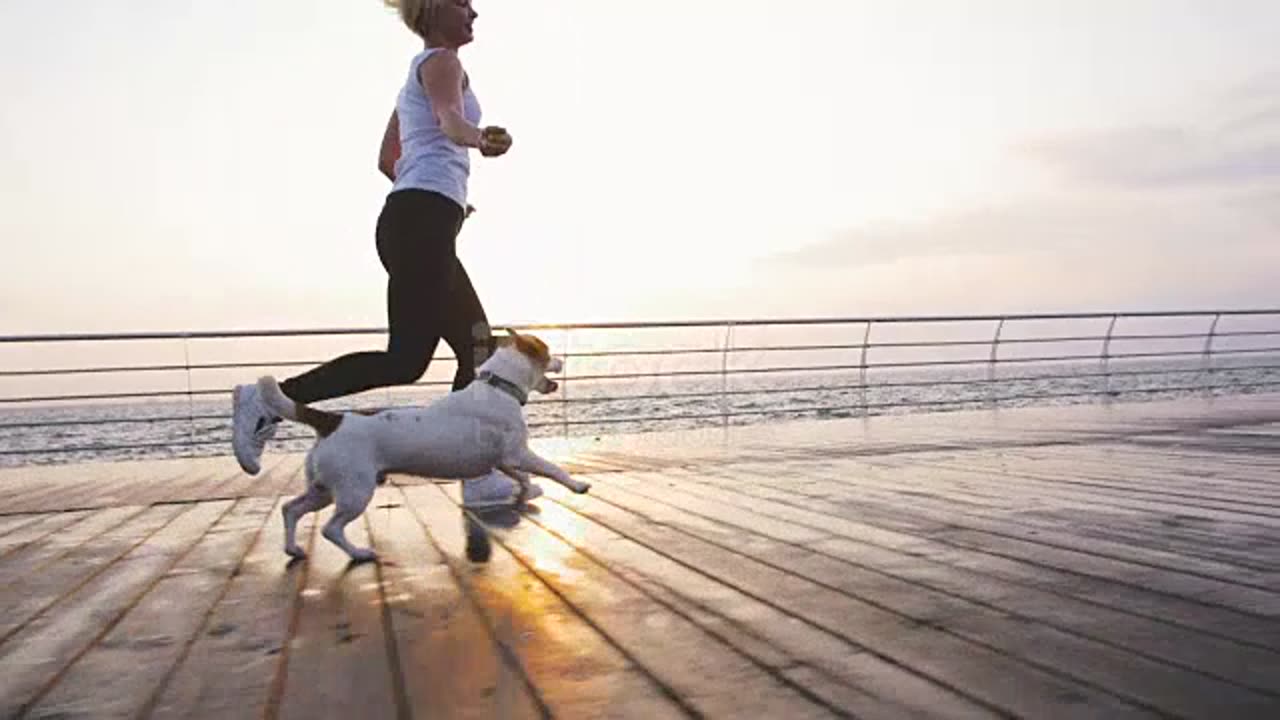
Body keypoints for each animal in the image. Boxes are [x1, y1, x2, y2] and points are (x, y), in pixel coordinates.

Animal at [259, 330, 588, 561]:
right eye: (547, 351)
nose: (562, 360)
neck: (497, 387)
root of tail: (332, 421)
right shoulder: (518, 453)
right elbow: (552, 468)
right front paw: (577, 485)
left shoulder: (506, 460)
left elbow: (522, 476)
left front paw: (526, 491)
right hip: (354, 491)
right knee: (330, 529)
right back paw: (359, 554)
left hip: (323, 489)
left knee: (291, 509)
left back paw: (293, 549)